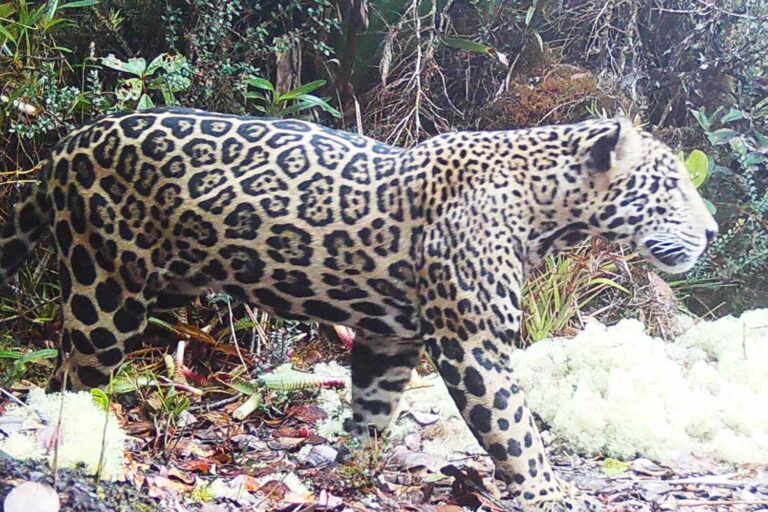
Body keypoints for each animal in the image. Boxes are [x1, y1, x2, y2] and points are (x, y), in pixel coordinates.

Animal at [0, 108, 717, 511]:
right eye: (672, 187)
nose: (711, 231)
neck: (546, 208)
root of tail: (63, 147)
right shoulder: (473, 341)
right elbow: (514, 428)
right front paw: (549, 492)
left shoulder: (389, 337)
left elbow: (374, 406)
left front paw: (356, 469)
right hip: (105, 289)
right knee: (73, 376)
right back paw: (75, 445)